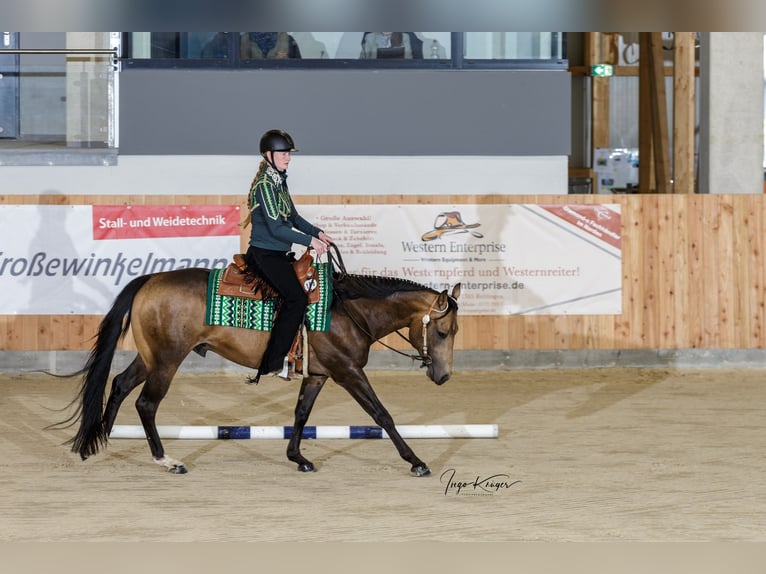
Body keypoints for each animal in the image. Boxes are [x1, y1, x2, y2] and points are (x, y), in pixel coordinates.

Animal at [53, 260, 461, 476]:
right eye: (443, 331)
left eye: (454, 331)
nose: (443, 376)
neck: (347, 310)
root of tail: (150, 279)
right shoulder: (347, 372)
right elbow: (382, 414)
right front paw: (416, 462)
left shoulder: (318, 374)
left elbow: (300, 414)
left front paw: (298, 458)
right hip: (167, 361)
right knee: (146, 404)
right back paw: (166, 460)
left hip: (151, 357)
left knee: (120, 385)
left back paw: (98, 441)